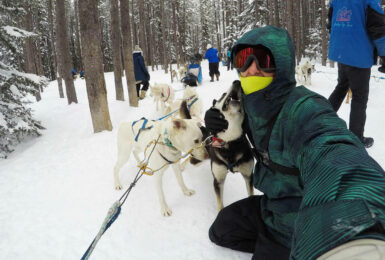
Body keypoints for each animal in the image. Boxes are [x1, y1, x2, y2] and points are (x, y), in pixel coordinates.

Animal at [208, 81, 254, 211]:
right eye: (223, 94)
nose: (237, 82)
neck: (230, 140)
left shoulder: (248, 175)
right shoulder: (218, 180)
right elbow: (220, 205)